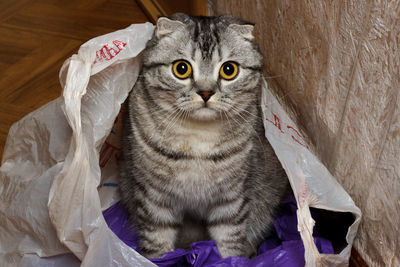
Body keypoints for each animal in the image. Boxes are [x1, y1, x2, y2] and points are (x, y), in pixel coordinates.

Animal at [117, 13, 290, 260]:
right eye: (181, 68)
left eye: (229, 70)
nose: (206, 93)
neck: (198, 137)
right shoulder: (153, 197)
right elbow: (156, 240)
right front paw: (160, 260)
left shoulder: (231, 198)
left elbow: (230, 239)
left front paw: (231, 262)